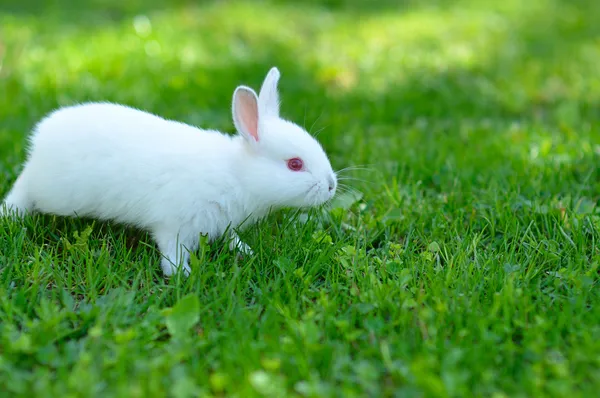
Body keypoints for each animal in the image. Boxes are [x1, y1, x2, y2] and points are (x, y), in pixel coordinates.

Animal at [1, 66, 338, 276]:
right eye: (295, 164)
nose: (331, 185)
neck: (236, 174)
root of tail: (40, 140)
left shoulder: (224, 223)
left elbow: (232, 239)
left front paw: (248, 252)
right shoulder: (174, 224)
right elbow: (171, 251)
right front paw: (181, 276)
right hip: (50, 191)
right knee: (23, 190)